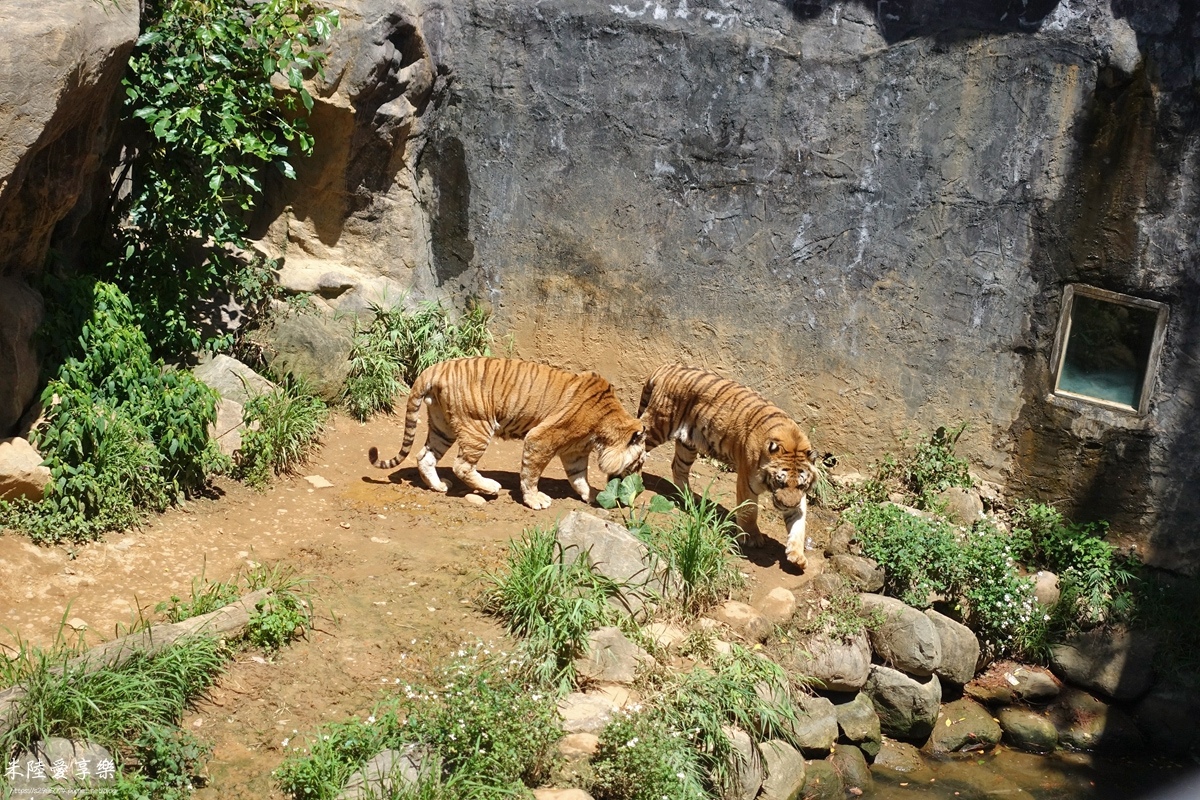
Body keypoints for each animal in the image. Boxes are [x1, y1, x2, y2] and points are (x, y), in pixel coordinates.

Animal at [367, 357, 648, 510]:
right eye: (638, 463)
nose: (638, 484)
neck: (603, 431)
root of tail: (435, 368)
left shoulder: (575, 452)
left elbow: (579, 479)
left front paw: (593, 496)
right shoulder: (540, 438)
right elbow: (531, 473)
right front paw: (535, 500)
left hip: (442, 427)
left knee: (425, 457)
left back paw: (438, 486)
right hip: (478, 426)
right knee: (461, 466)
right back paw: (490, 487)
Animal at [633, 362, 820, 568]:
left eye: (800, 485)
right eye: (780, 482)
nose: (787, 506)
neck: (792, 442)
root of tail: (667, 367)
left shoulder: (799, 497)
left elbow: (799, 524)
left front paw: (797, 556)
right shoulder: (747, 482)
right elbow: (749, 511)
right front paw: (752, 538)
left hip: (687, 443)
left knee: (677, 467)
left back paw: (690, 499)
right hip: (659, 425)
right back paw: (632, 478)